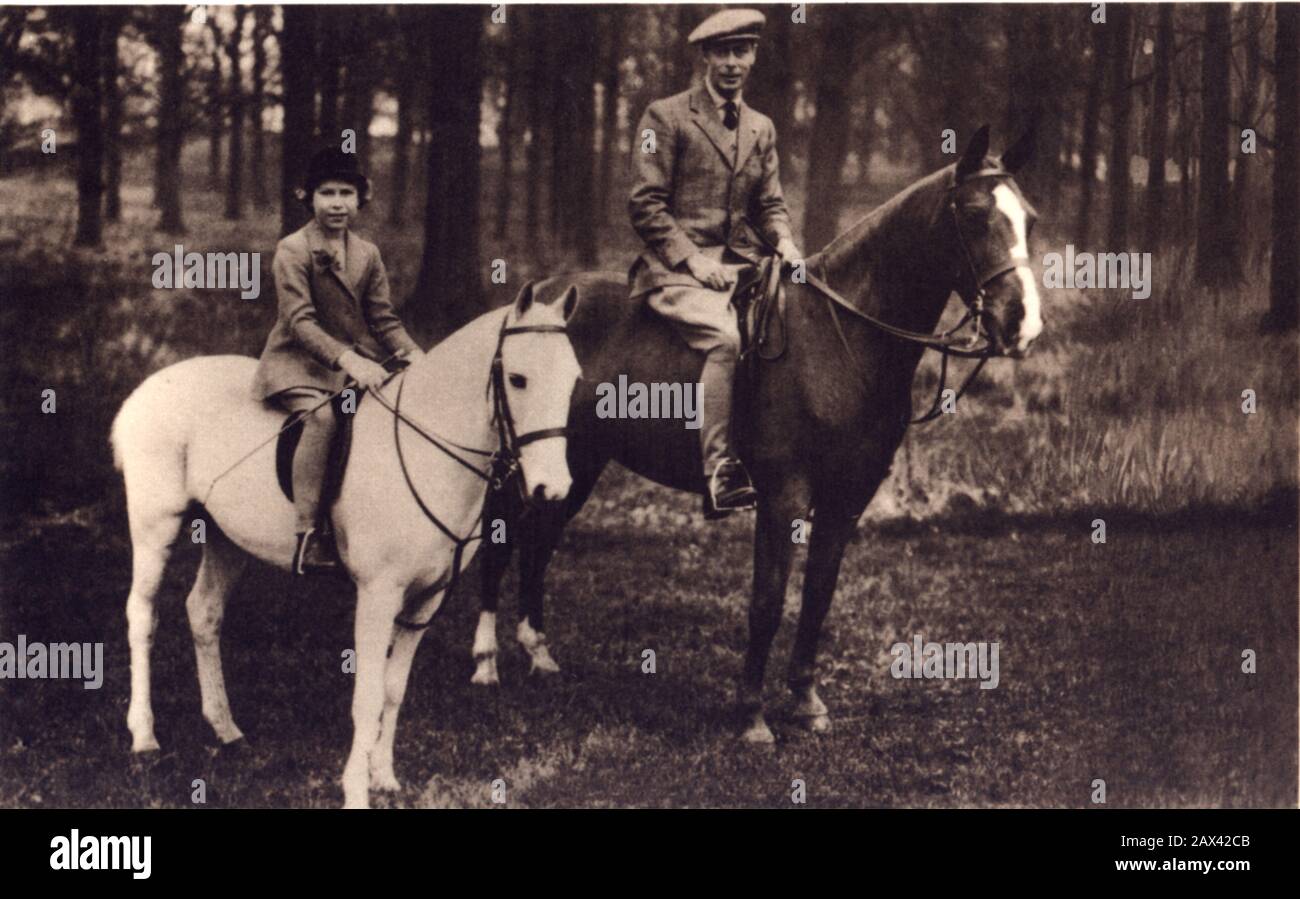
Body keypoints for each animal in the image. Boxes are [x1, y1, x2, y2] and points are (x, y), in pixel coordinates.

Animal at [111, 283, 579, 805]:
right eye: (518, 379)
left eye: (574, 381)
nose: (553, 489)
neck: (428, 451)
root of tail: (148, 388)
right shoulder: (378, 596)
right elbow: (368, 696)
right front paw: (356, 788)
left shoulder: (425, 601)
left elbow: (393, 690)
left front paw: (384, 776)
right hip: (155, 524)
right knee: (143, 617)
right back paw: (144, 736)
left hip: (227, 537)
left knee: (204, 613)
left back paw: (225, 728)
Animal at [473, 127, 1040, 743]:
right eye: (974, 215)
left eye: (1030, 220)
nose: (1024, 325)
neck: (839, 338)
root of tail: (535, 299)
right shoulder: (783, 495)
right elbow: (767, 601)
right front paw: (751, 716)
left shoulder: (847, 498)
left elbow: (817, 597)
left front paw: (806, 702)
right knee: (502, 537)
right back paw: (485, 665)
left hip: (576, 458)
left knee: (542, 536)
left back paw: (539, 655)